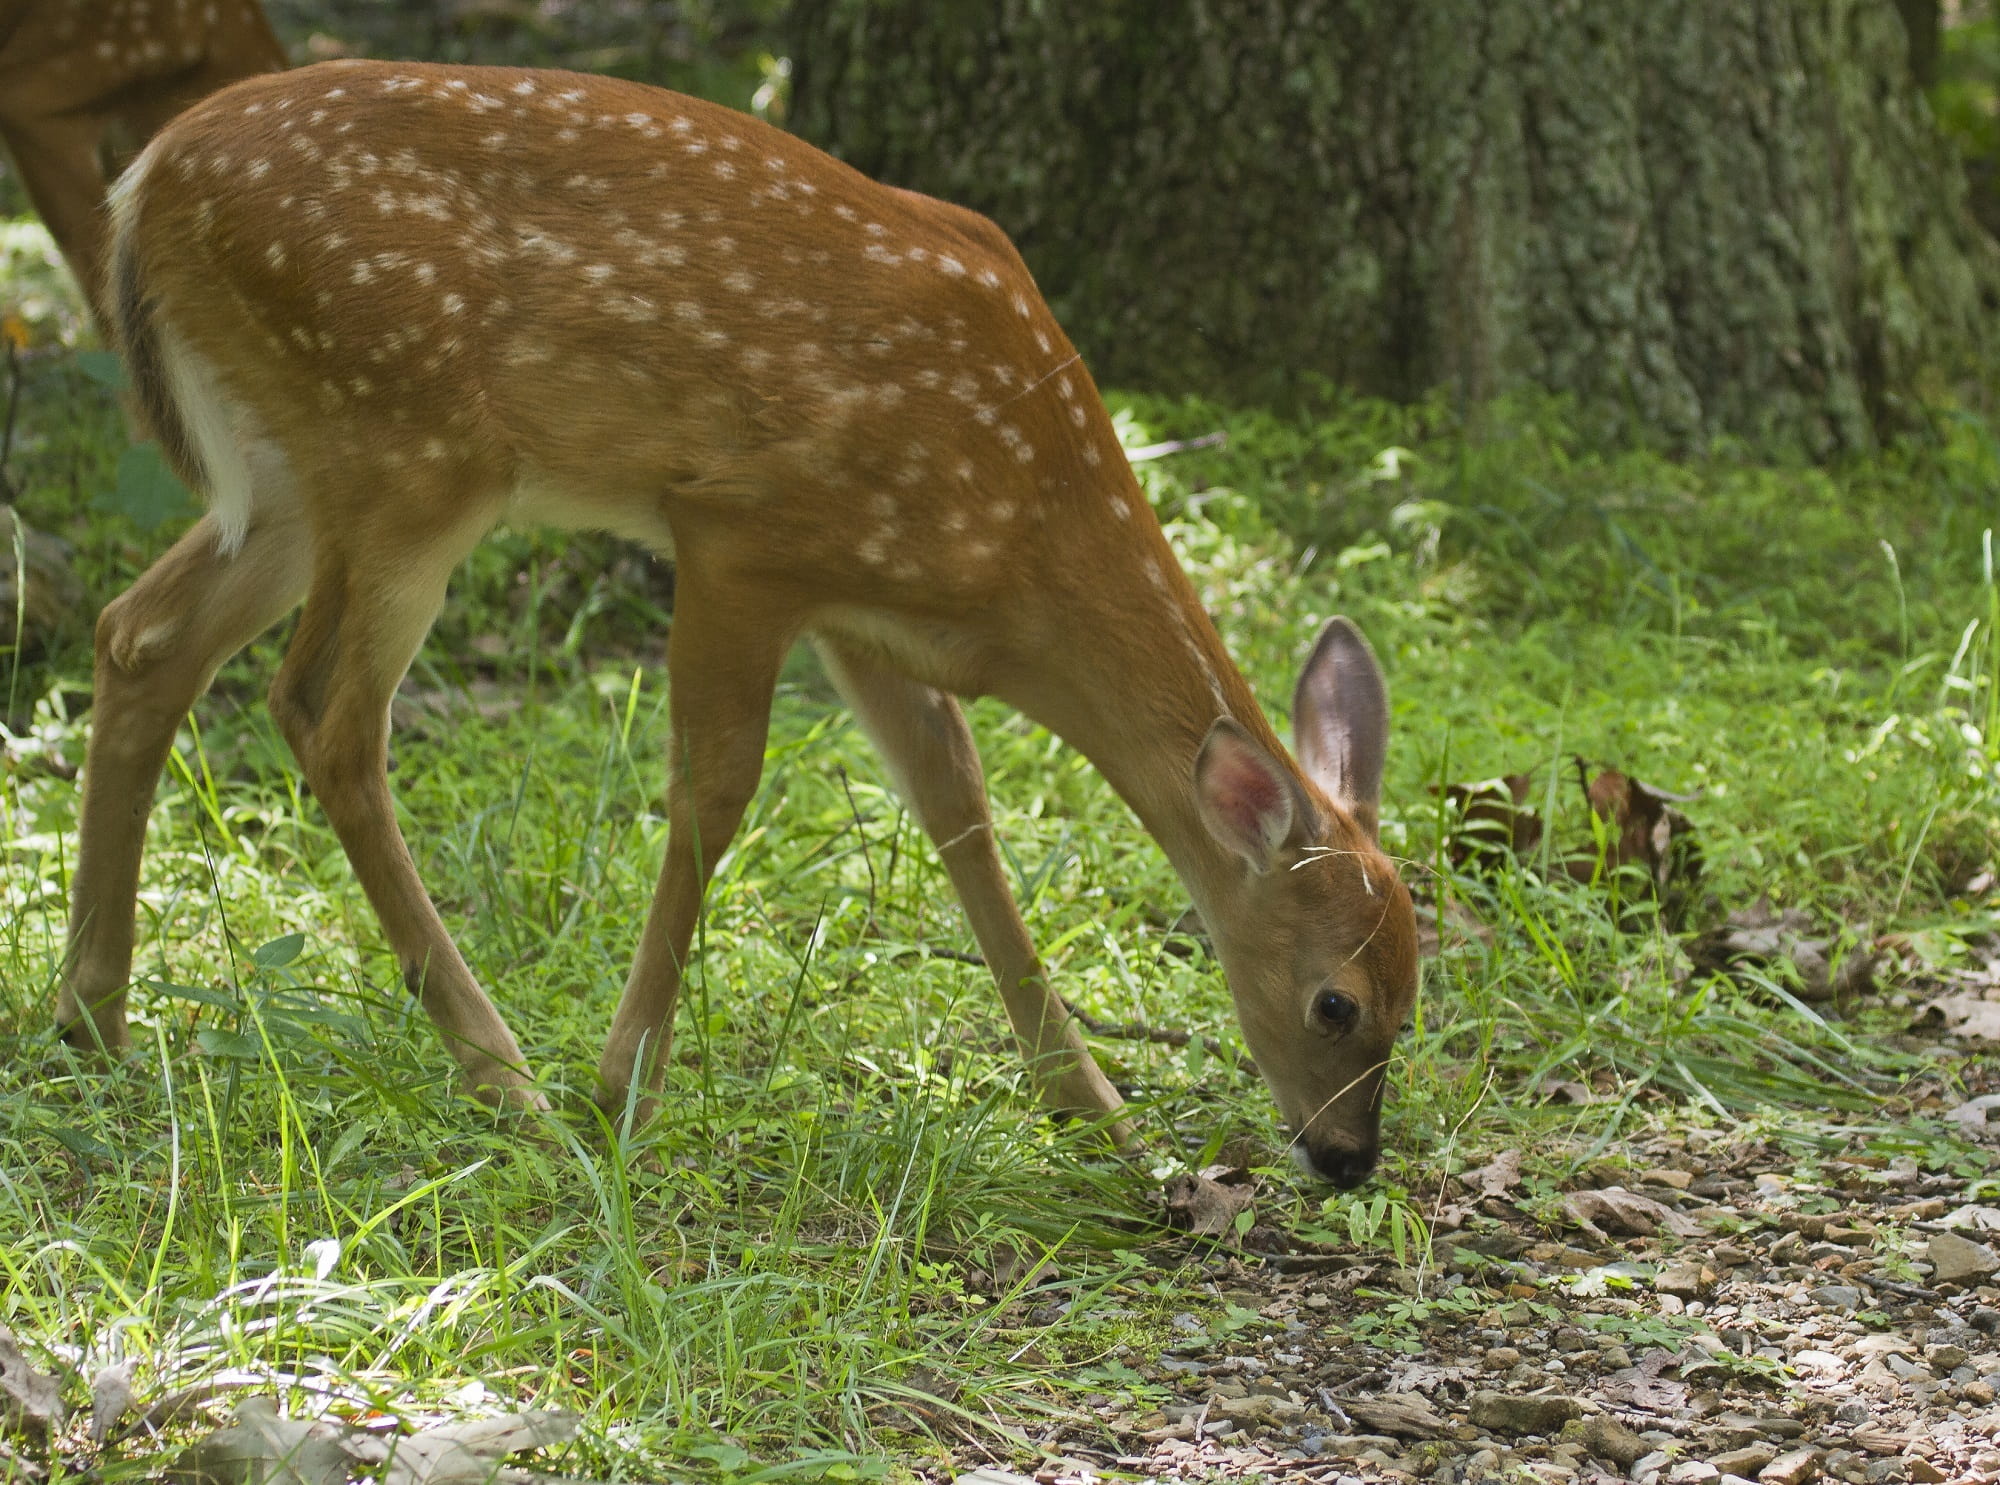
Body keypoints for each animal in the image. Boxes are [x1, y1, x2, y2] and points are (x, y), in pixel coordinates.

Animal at [58, 59, 1420, 1188]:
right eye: (1336, 1004)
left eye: (1417, 994)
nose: (1348, 1160)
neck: (1021, 538)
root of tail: (141, 179)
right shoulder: (739, 535)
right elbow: (714, 793)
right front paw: (623, 1089)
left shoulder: (867, 614)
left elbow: (958, 810)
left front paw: (1097, 1115)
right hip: (405, 450)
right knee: (322, 712)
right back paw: (506, 1082)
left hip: (293, 472)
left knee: (139, 635)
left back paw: (91, 1017)